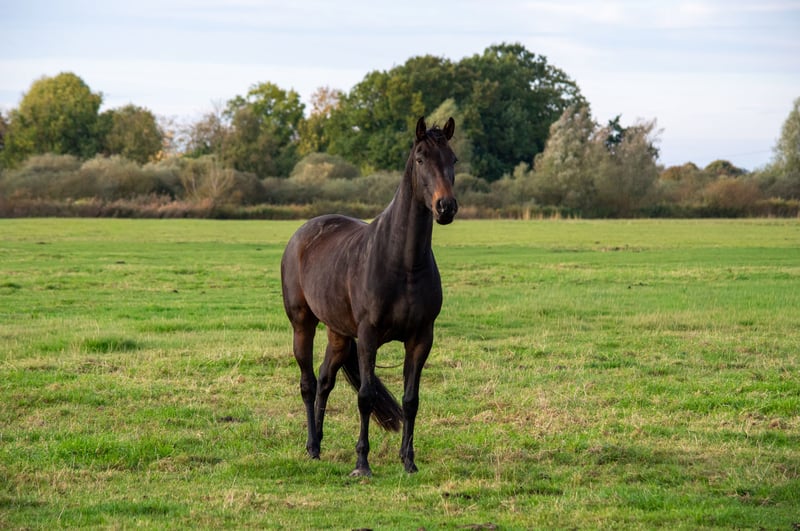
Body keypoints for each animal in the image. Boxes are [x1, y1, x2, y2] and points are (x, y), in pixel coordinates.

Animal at [280, 116, 458, 476]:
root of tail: (302, 234)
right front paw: (362, 463)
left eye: (454, 160)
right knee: (308, 383)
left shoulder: (421, 338)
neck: (403, 263)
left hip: (337, 334)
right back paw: (311, 446)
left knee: (325, 380)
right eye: (421, 159)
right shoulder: (368, 336)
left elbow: (411, 400)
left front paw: (408, 461)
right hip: (303, 325)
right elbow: (365, 395)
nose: (445, 207)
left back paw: (320, 442)